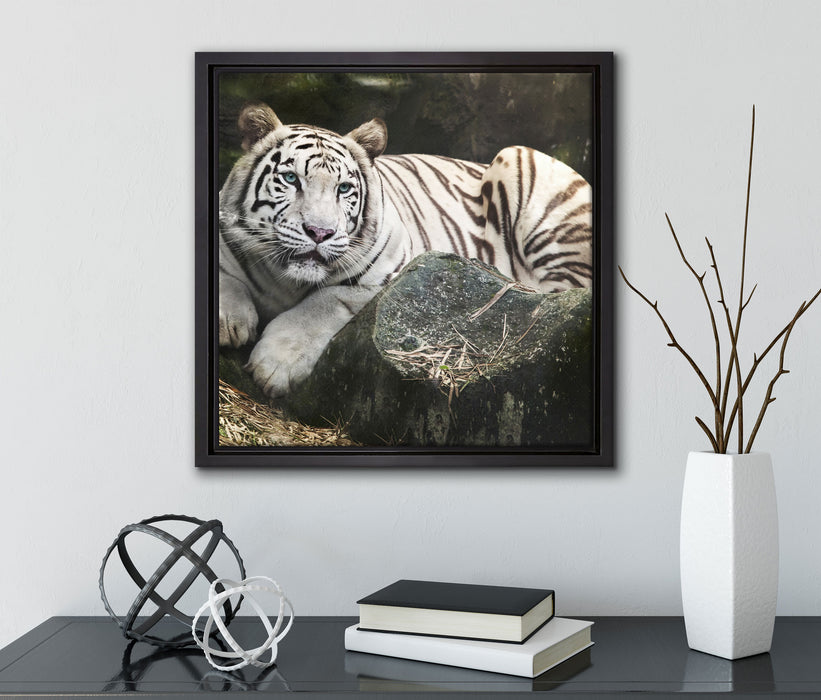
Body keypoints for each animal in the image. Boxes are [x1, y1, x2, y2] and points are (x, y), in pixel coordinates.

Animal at [218, 103, 593, 398]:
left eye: (344, 189)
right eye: (291, 179)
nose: (320, 233)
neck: (286, 280)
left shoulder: (388, 275)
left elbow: (324, 302)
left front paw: (275, 365)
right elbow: (225, 277)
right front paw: (228, 321)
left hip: (522, 161)